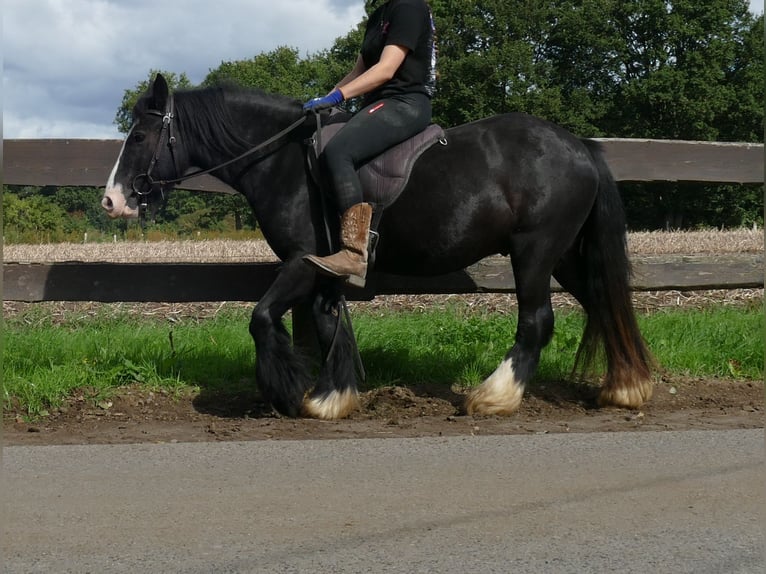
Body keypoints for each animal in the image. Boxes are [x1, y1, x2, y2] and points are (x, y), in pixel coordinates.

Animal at [102, 73, 654, 420]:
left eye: (141, 136)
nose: (112, 200)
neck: (284, 161)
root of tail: (579, 147)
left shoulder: (304, 260)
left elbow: (261, 318)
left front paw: (288, 390)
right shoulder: (324, 268)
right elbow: (328, 324)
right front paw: (331, 397)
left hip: (535, 252)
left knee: (537, 321)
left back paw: (494, 397)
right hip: (564, 256)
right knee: (603, 302)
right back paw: (625, 387)